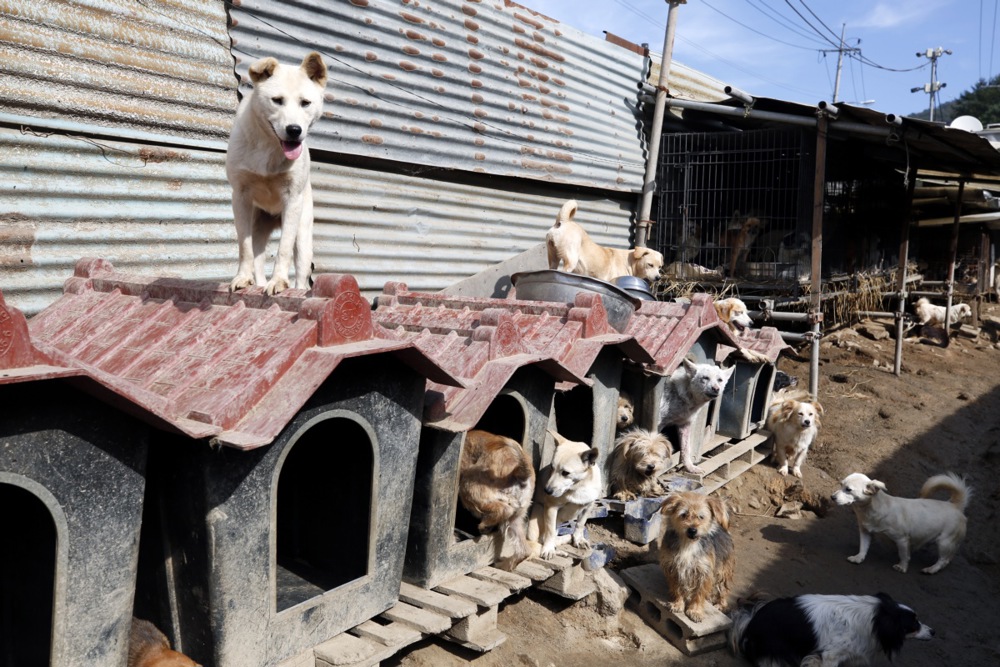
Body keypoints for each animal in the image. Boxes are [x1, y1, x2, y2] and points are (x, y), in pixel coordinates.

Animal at [227, 49, 328, 294]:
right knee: (257, 257)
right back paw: (258, 281)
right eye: (277, 101)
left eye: (305, 103)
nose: (294, 130)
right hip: (258, 226)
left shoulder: (292, 200)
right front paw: (243, 277)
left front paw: (279, 281)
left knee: (301, 273)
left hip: (303, 234)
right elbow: (244, 247)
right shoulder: (240, 197)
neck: (269, 146)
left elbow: (283, 248)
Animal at [460, 430, 540, 572]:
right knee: (524, 551)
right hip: (516, 517)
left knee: (503, 509)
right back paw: (504, 565)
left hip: (469, 487)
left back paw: (484, 526)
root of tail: (519, 473)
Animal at [656, 490, 736, 628]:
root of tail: (722, 527)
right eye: (683, 514)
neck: (688, 543)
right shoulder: (674, 568)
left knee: (723, 589)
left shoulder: (703, 572)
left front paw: (695, 611)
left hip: (723, 571)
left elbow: (699, 593)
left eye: (701, 517)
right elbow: (676, 588)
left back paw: (720, 604)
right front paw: (678, 604)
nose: (692, 530)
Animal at [832, 472, 972, 576]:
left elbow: (904, 555)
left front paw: (902, 567)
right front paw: (859, 558)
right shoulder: (865, 532)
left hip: (944, 542)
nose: (832, 497)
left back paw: (931, 569)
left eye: (848, 490)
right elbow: (863, 546)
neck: (870, 509)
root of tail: (955, 505)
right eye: (840, 485)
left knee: (944, 560)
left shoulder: (902, 539)